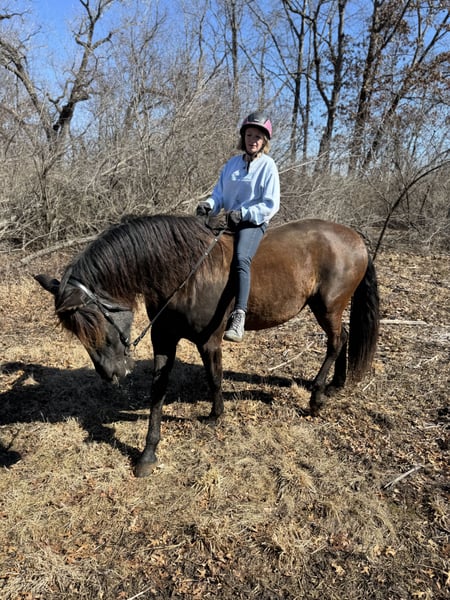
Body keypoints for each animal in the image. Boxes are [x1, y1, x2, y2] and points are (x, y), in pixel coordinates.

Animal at [35, 214, 379, 477]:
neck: (184, 274)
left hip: (328, 306)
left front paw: (216, 416)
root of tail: (353, 236)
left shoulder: (209, 341)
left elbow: (214, 378)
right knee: (343, 337)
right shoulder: (164, 340)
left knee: (335, 342)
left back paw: (317, 396)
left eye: (94, 324)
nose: (110, 374)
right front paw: (148, 453)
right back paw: (336, 384)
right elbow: (158, 392)